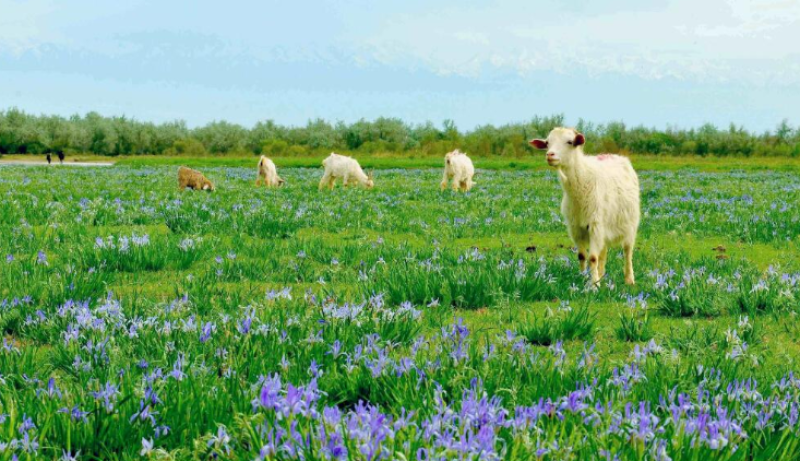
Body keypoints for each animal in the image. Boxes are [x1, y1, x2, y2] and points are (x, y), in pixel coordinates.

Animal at [528, 126, 640, 284]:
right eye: (548, 142)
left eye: (569, 142)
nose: (550, 155)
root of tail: (615, 156)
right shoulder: (576, 228)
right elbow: (582, 256)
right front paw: (584, 279)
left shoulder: (594, 225)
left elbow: (592, 258)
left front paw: (593, 285)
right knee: (603, 253)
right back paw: (601, 277)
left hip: (629, 224)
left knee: (628, 251)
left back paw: (629, 279)